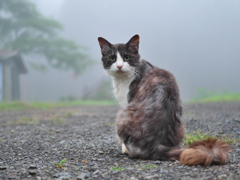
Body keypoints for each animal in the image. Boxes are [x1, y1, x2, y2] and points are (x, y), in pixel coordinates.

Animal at [96, 34, 232, 165]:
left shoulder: (127, 100)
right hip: (180, 126)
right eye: (112, 58)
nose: (119, 66)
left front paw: (124, 149)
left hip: (122, 116)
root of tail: (157, 145)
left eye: (127, 57)